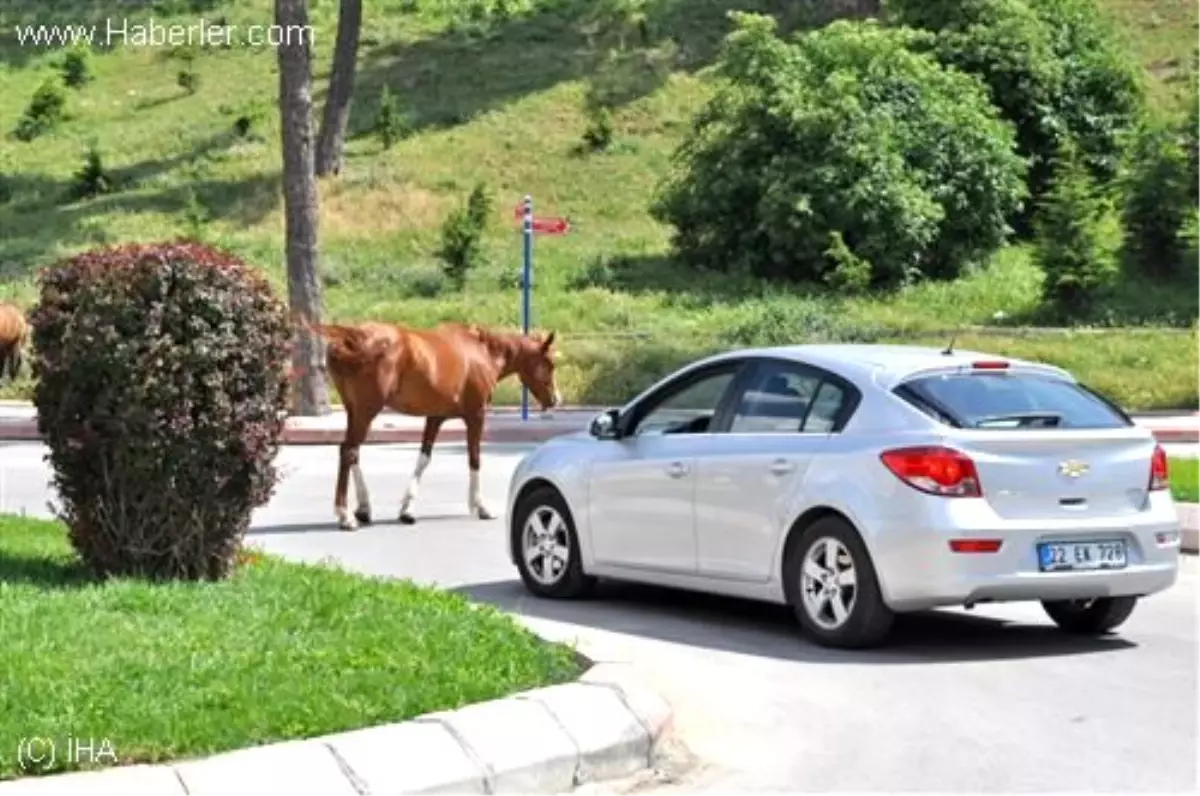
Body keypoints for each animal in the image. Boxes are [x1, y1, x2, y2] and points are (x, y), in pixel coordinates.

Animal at [314, 321, 566, 533]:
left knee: (351, 452)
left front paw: (407, 510)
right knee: (349, 451)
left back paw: (363, 509)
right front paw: (480, 507)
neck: (483, 353)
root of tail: (349, 336)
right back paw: (345, 515)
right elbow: (475, 458)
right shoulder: (476, 416)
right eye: (550, 363)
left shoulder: (435, 417)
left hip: (354, 411)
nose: (556, 400)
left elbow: (423, 459)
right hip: (366, 411)